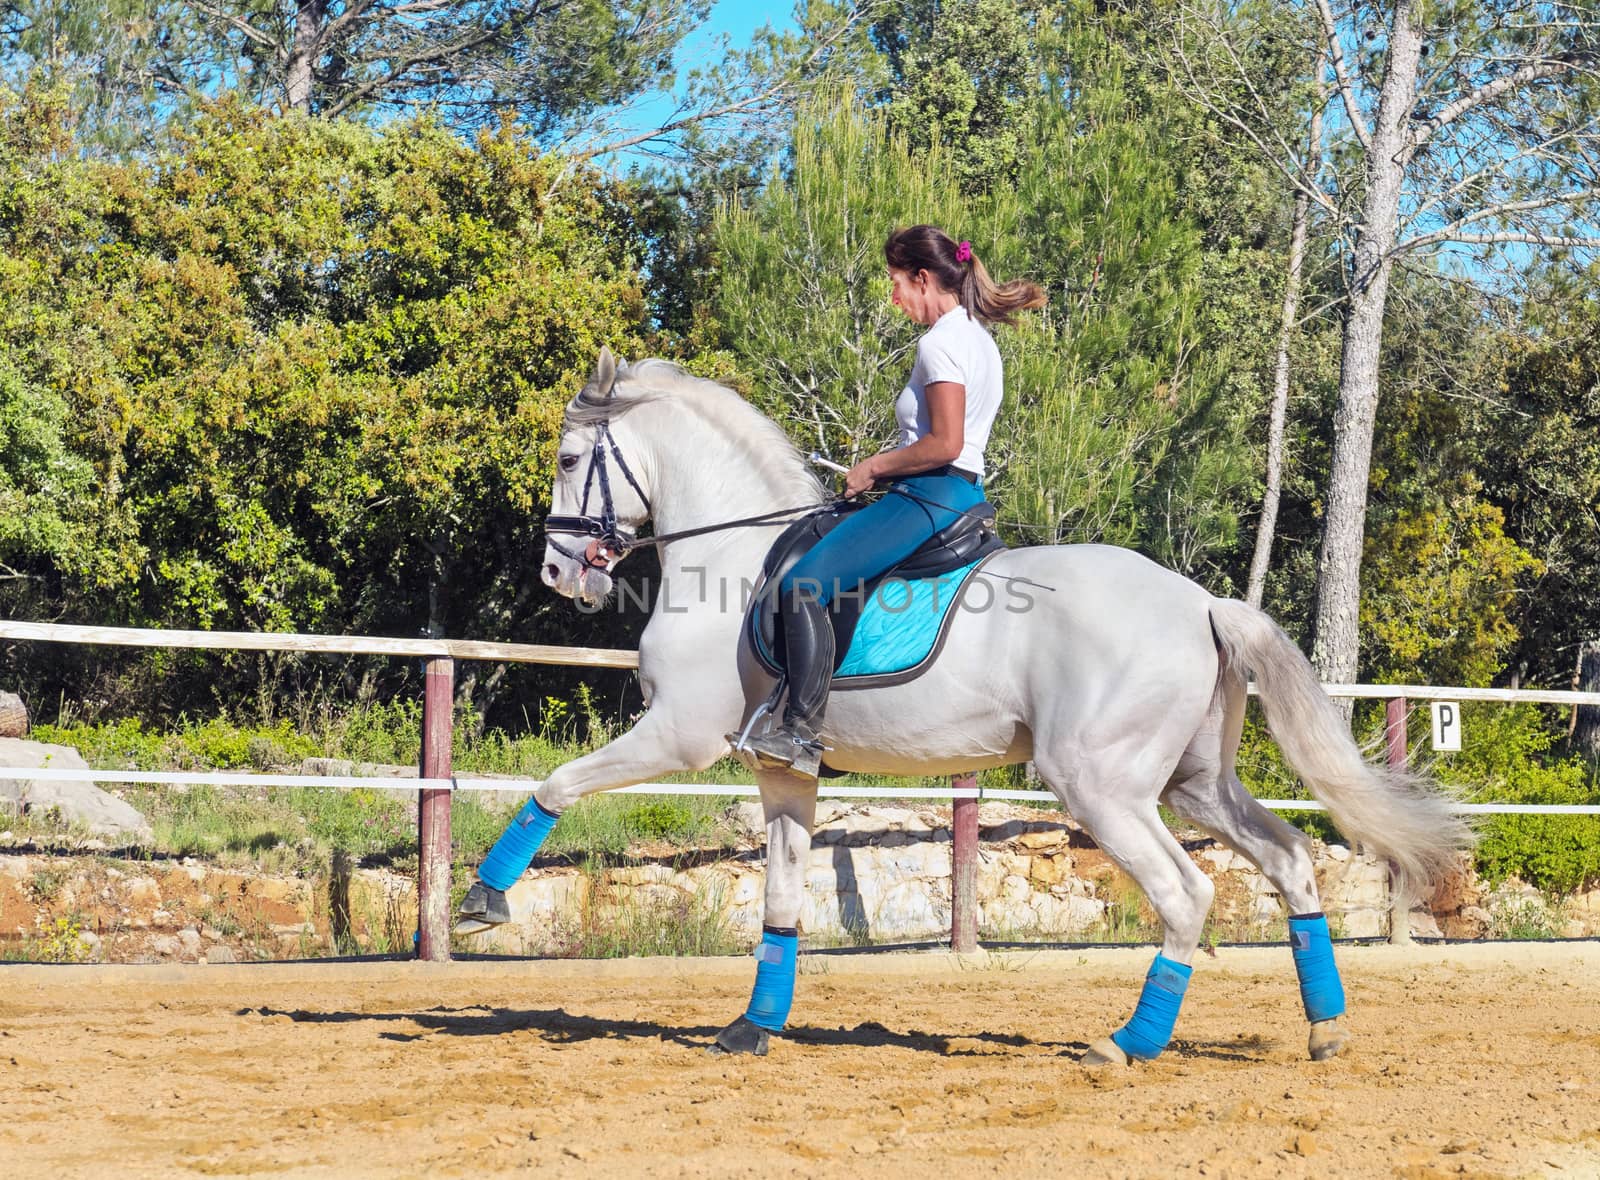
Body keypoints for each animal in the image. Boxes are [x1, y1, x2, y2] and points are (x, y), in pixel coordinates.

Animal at [515, 345, 1472, 1061]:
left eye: (566, 461)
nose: (558, 575)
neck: (735, 560)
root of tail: (1202, 601)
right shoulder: (784, 772)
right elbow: (781, 899)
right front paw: (753, 1028)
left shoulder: (679, 737)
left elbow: (556, 785)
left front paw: (489, 900)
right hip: (1193, 783)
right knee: (1290, 861)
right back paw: (1324, 1029)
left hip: (1101, 784)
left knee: (1186, 892)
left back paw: (1127, 1042)